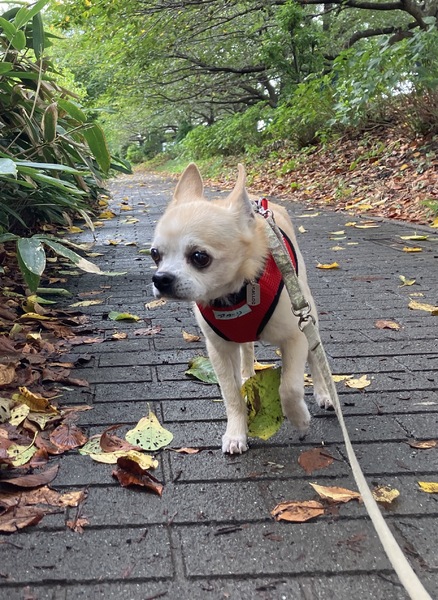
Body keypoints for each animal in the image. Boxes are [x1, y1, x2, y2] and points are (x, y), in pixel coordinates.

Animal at [151, 163, 332, 454]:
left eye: (200, 257)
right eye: (155, 254)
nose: (161, 278)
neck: (235, 295)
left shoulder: (294, 338)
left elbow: (289, 388)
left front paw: (300, 419)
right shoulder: (219, 351)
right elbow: (231, 395)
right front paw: (237, 433)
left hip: (308, 315)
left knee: (315, 359)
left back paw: (324, 393)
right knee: (247, 348)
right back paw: (247, 372)